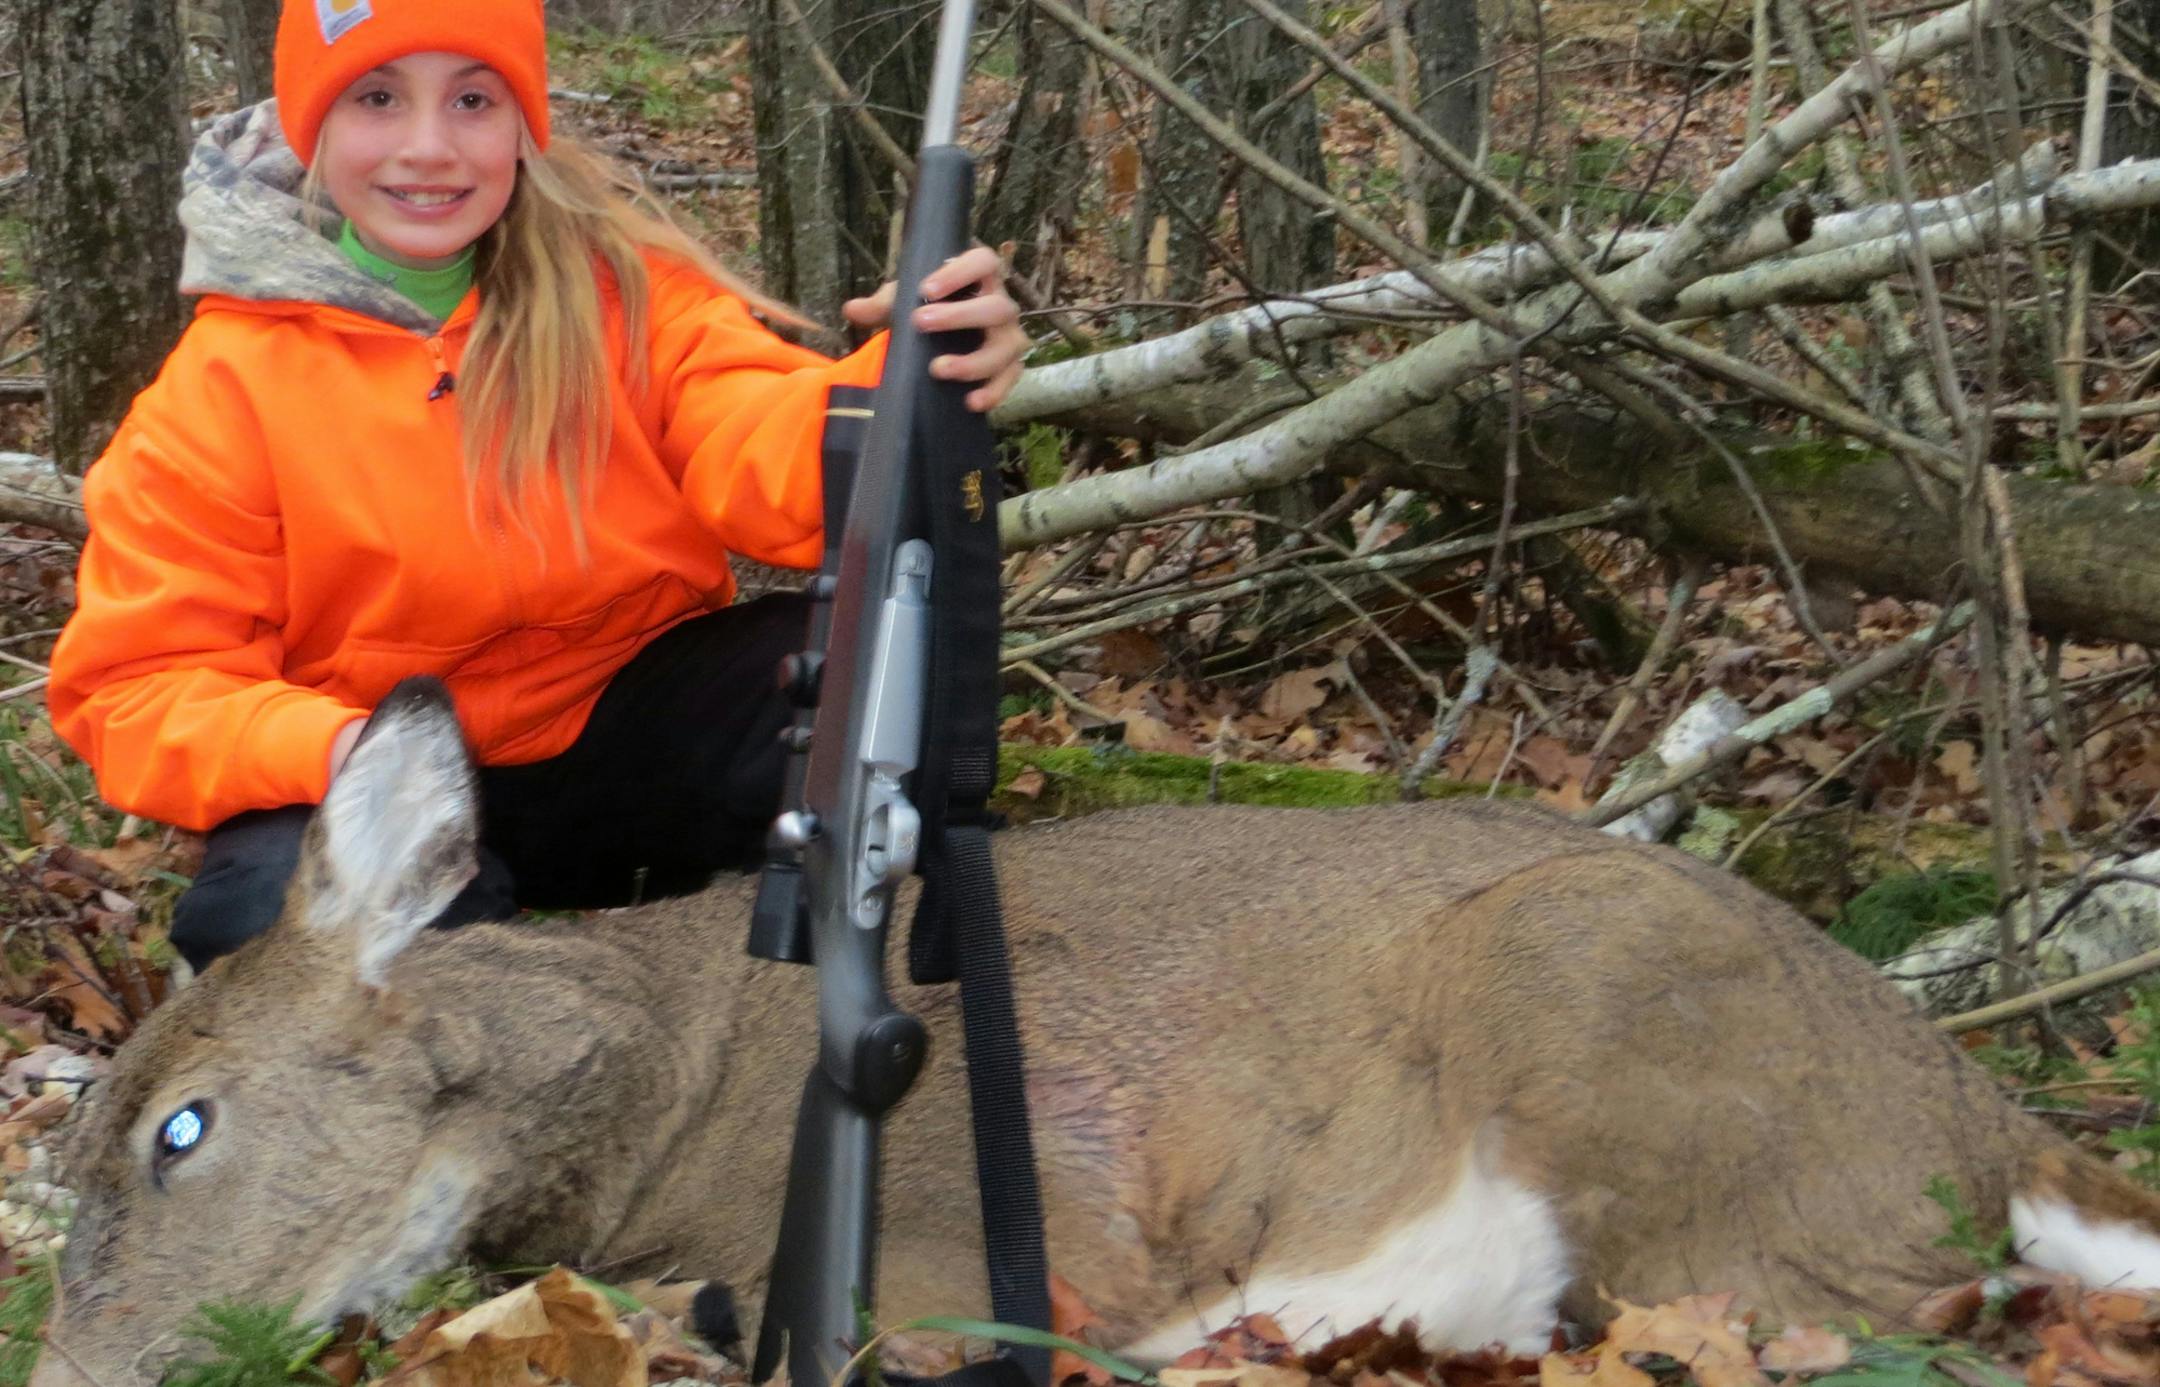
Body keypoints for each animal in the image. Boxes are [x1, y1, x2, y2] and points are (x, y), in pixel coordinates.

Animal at [29, 677, 2160, 1387]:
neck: (659, 1087)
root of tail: (1980, 1105)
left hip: (1618, 1017)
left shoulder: (971, 1231)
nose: (69, 1372)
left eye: (182, 1126)